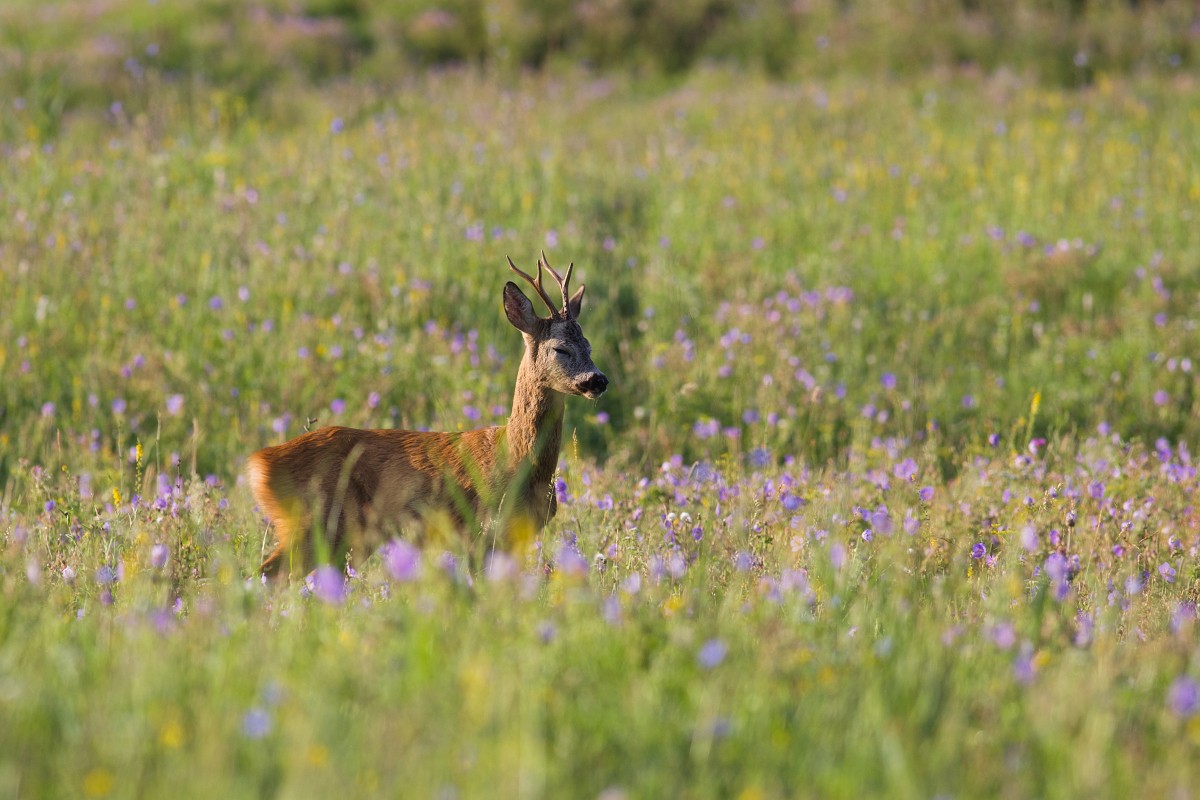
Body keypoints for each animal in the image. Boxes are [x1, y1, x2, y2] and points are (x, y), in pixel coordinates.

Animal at [244, 256, 609, 582]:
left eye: (589, 345)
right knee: (266, 574)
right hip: (317, 523)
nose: (598, 379)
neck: (517, 457)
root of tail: (259, 462)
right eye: (560, 348)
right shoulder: (481, 530)